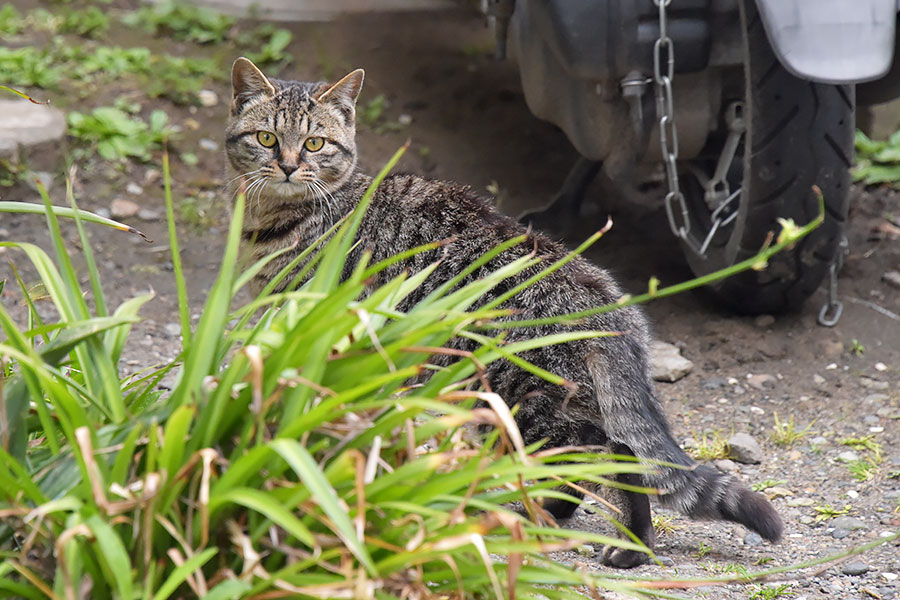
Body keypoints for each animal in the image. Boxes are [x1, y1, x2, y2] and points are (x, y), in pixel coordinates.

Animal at [225, 57, 780, 568]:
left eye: (315, 145)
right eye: (267, 139)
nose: (289, 165)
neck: (280, 217)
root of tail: (605, 300)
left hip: (524, 403)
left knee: (594, 455)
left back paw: (592, 535)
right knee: (614, 453)